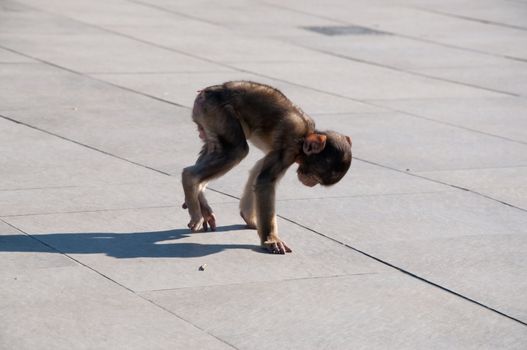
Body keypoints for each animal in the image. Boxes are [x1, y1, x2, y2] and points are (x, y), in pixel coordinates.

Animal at [184, 80, 352, 253]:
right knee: (236, 150)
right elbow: (265, 181)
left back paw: (200, 197)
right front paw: (271, 239)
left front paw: (249, 218)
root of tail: (208, 91)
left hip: (208, 120)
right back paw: (191, 182)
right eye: (313, 176)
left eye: (316, 180)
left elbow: (258, 168)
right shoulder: (289, 148)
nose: (310, 183)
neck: (305, 136)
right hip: (217, 112)